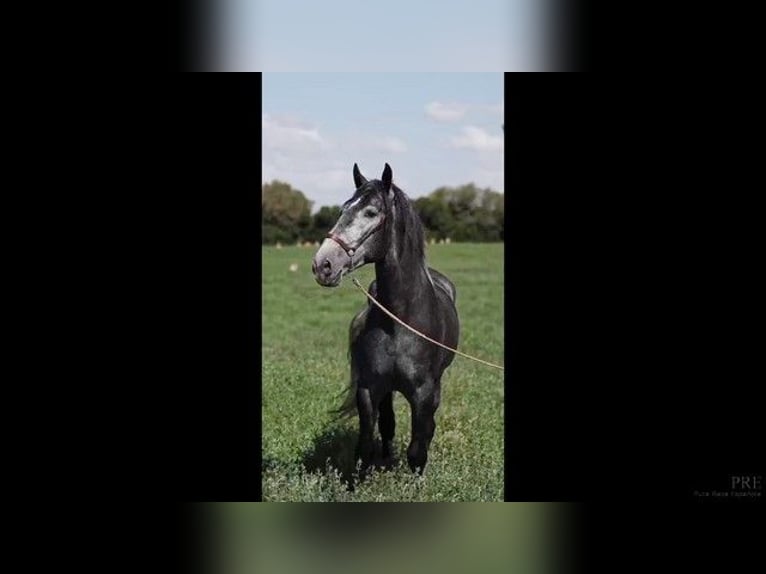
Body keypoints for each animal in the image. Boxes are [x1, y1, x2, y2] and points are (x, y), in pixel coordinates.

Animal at [308, 163, 460, 476]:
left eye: (370, 212)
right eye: (343, 209)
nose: (322, 265)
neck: (400, 322)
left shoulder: (424, 394)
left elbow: (418, 448)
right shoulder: (369, 389)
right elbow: (366, 445)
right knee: (388, 424)